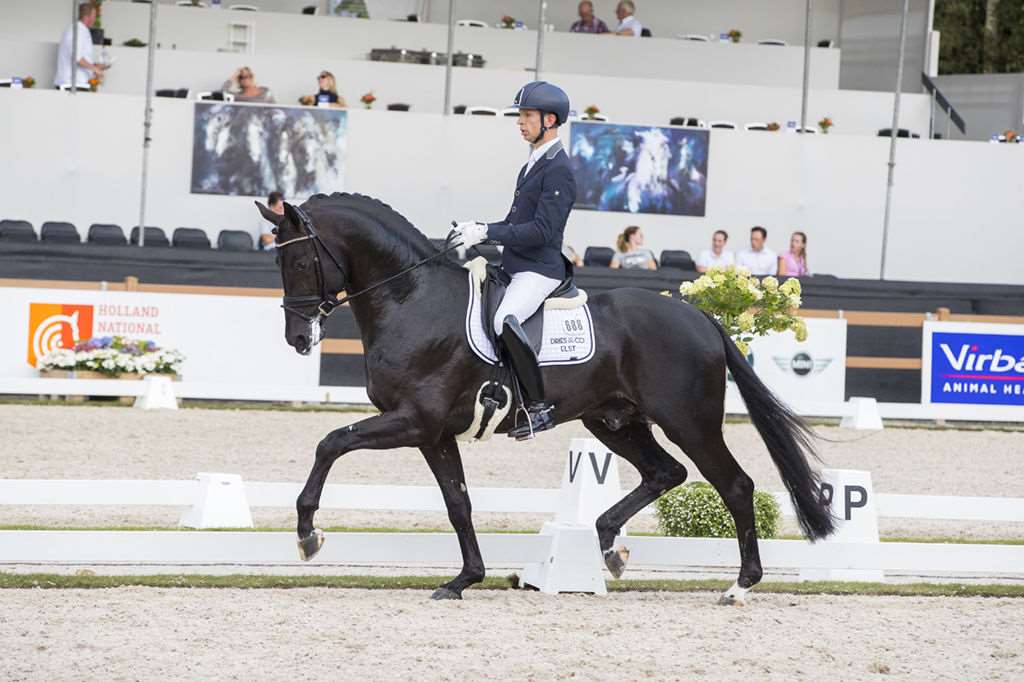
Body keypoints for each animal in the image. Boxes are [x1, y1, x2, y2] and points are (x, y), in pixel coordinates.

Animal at [256, 192, 834, 603]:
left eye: (300, 262)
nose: (298, 337)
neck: (411, 299)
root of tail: (699, 316)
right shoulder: (434, 432)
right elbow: (458, 503)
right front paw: (465, 579)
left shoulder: (413, 420)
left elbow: (331, 442)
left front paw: (308, 535)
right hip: (614, 421)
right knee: (665, 472)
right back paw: (610, 544)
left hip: (688, 420)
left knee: (734, 484)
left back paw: (739, 585)